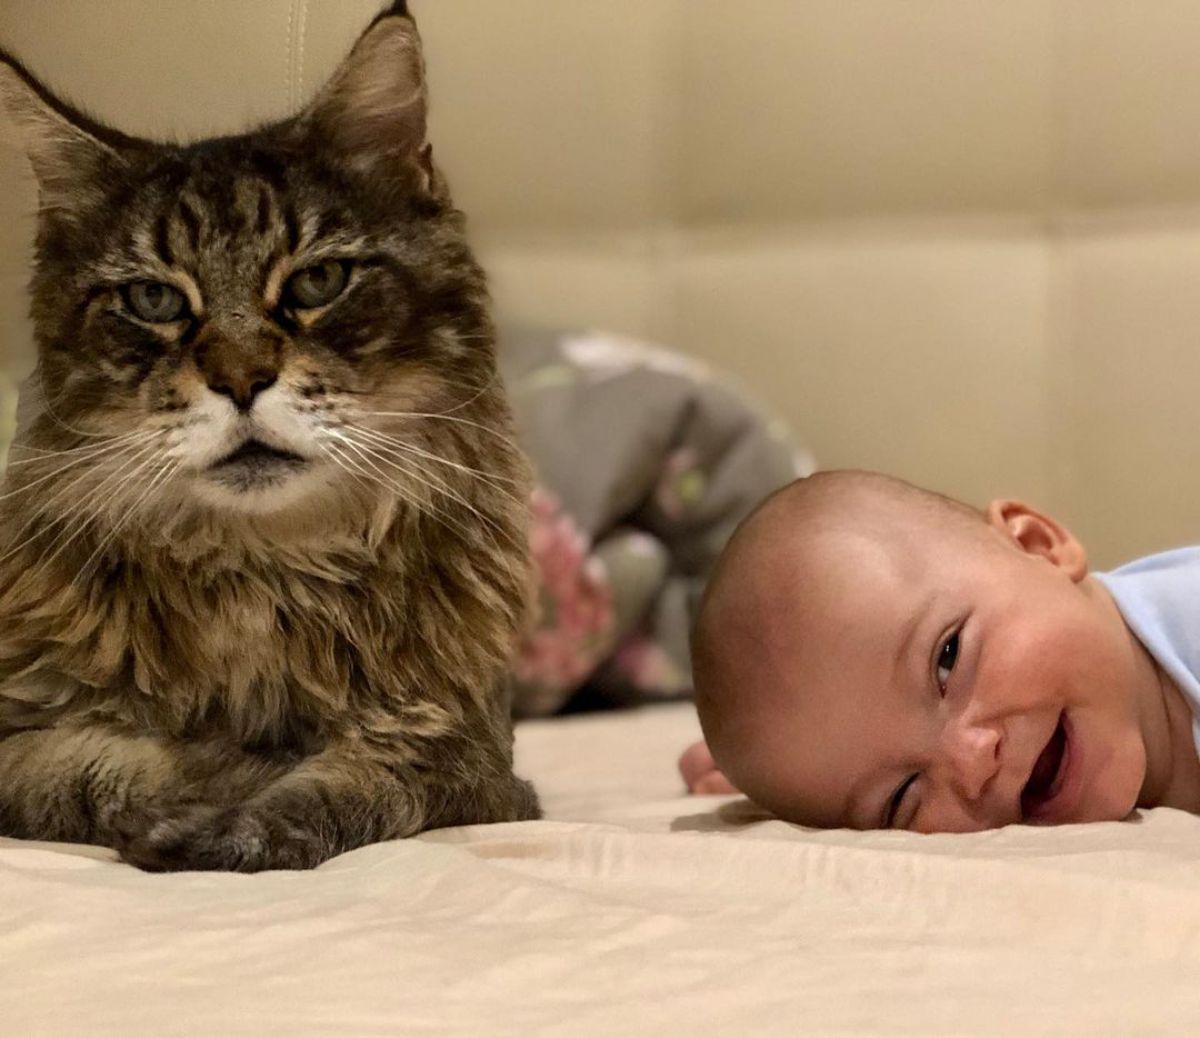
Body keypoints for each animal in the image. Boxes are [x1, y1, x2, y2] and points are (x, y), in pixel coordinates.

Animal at [0, 2, 540, 873]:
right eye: (153, 299)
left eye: (317, 282)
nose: (241, 379)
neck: (264, 572)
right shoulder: (18, 733)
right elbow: (96, 763)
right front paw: (204, 787)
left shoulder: (477, 755)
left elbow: (367, 779)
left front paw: (243, 817)